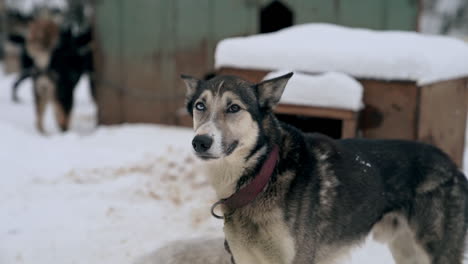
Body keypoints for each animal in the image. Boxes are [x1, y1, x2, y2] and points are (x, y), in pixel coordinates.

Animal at [182, 72, 468, 264]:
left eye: (233, 108)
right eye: (200, 106)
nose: (200, 141)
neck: (262, 176)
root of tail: (453, 166)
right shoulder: (244, 258)